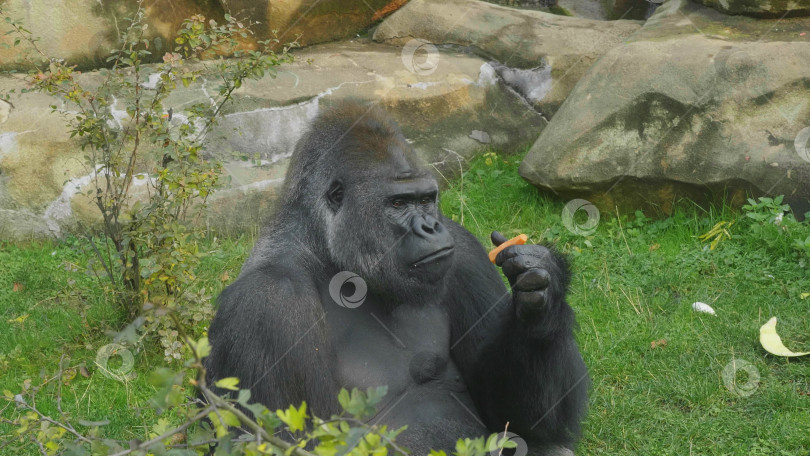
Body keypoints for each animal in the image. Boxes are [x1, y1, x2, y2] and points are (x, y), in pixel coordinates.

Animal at [205, 101, 588, 454]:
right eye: (399, 203)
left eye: (427, 199)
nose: (431, 226)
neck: (334, 262)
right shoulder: (268, 303)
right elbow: (288, 439)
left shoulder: (464, 252)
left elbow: (517, 420)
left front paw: (543, 298)